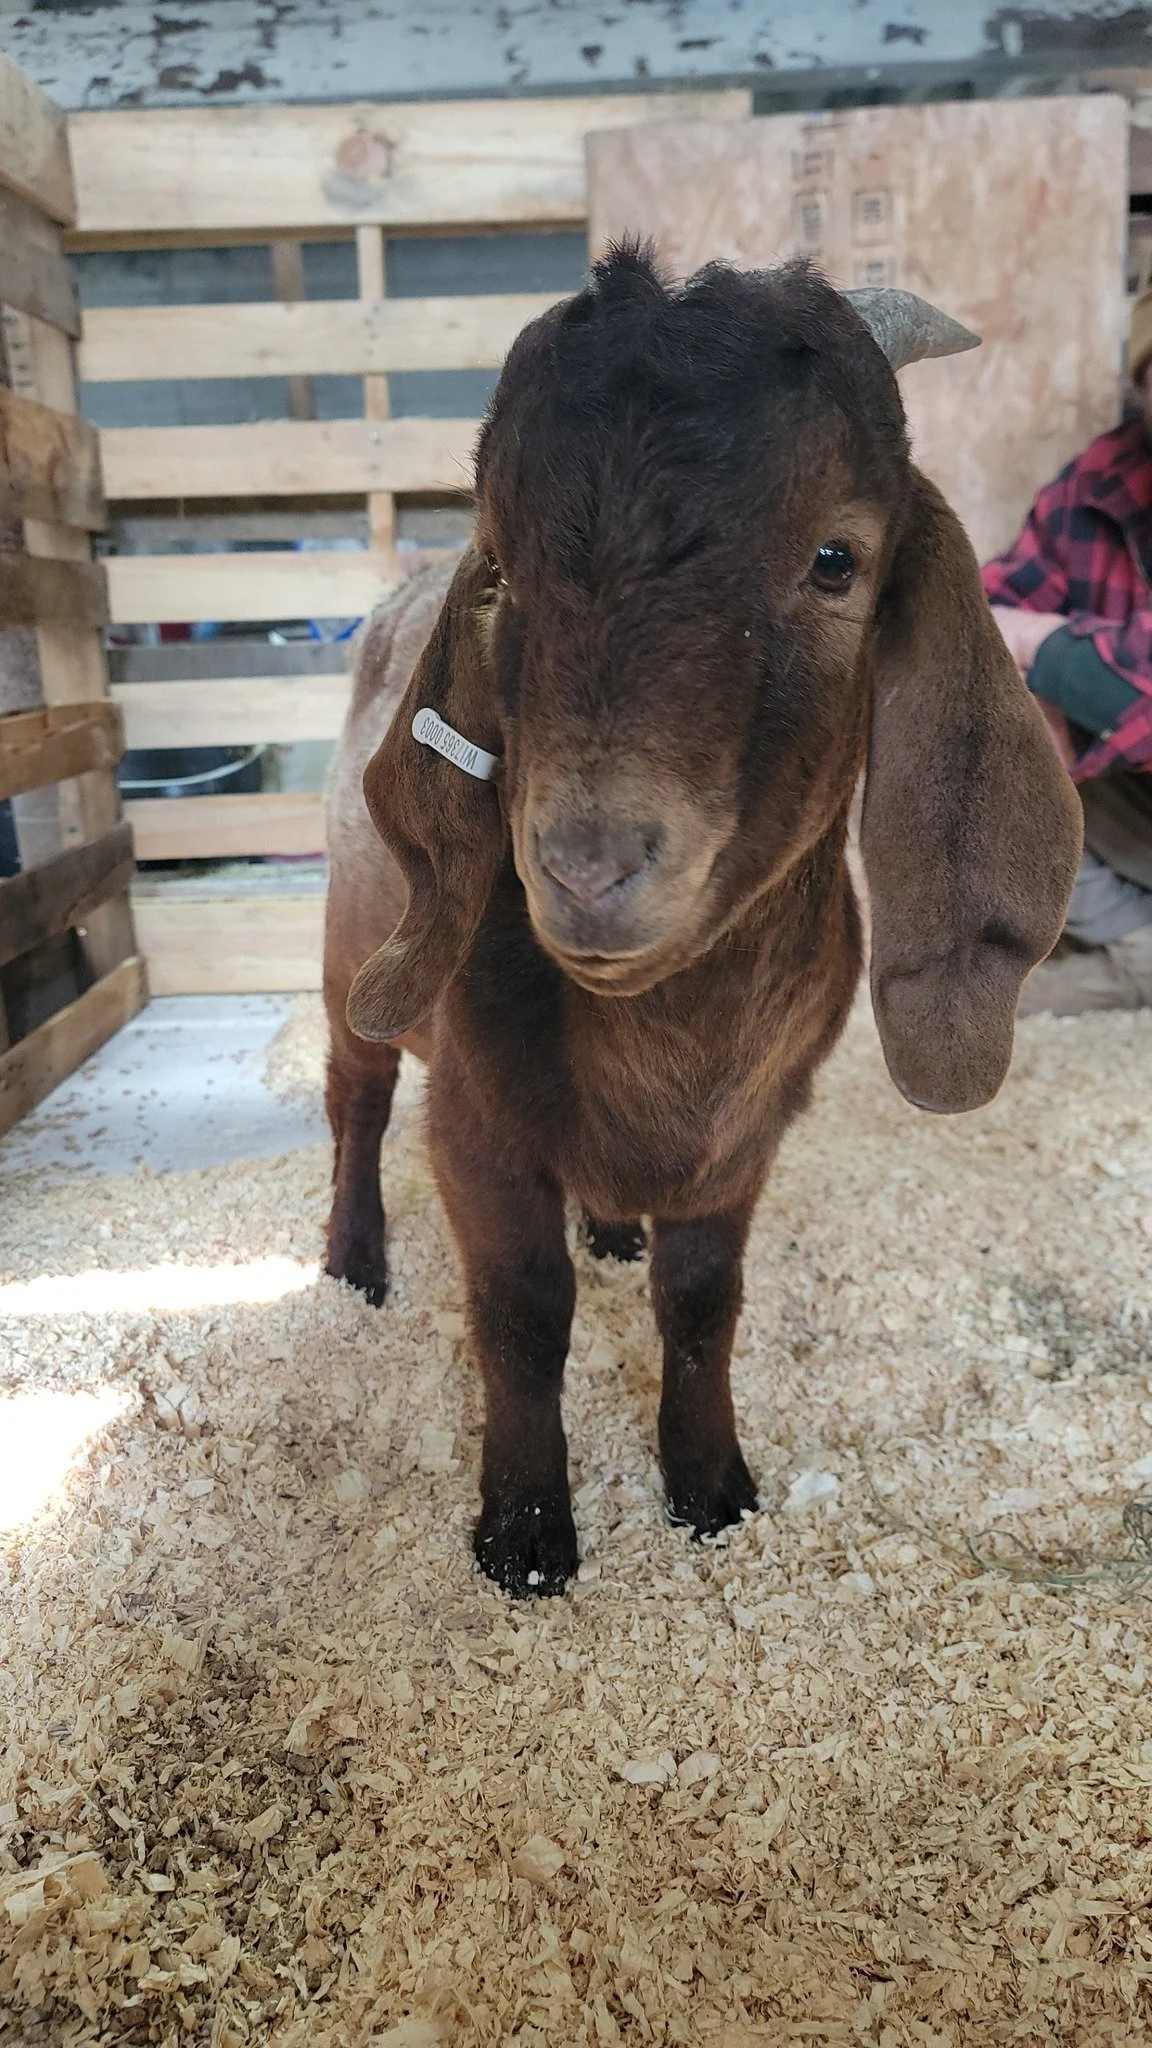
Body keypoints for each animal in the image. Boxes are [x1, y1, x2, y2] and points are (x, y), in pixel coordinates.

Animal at [323, 248, 1082, 1597]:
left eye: (837, 557)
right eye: (502, 564)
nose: (586, 864)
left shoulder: (747, 1138)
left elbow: (703, 1300)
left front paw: (712, 1484)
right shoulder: (475, 1117)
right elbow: (523, 1308)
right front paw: (525, 1531)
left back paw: (611, 1227)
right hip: (348, 960)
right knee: (353, 1100)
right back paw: (354, 1260)